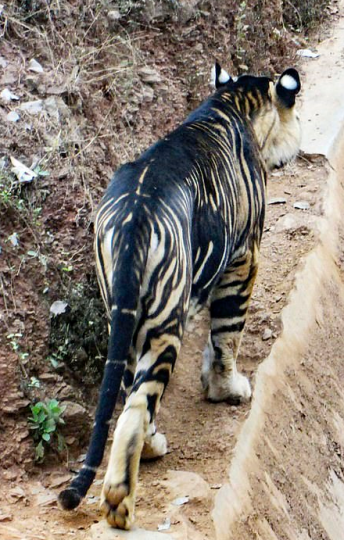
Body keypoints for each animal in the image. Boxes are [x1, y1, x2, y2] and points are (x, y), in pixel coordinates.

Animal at [59, 62, 300, 528]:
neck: (232, 100)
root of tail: (133, 216)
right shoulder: (244, 257)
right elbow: (228, 333)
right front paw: (227, 388)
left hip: (127, 317)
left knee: (131, 393)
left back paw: (149, 450)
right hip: (164, 323)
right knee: (137, 406)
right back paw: (120, 503)